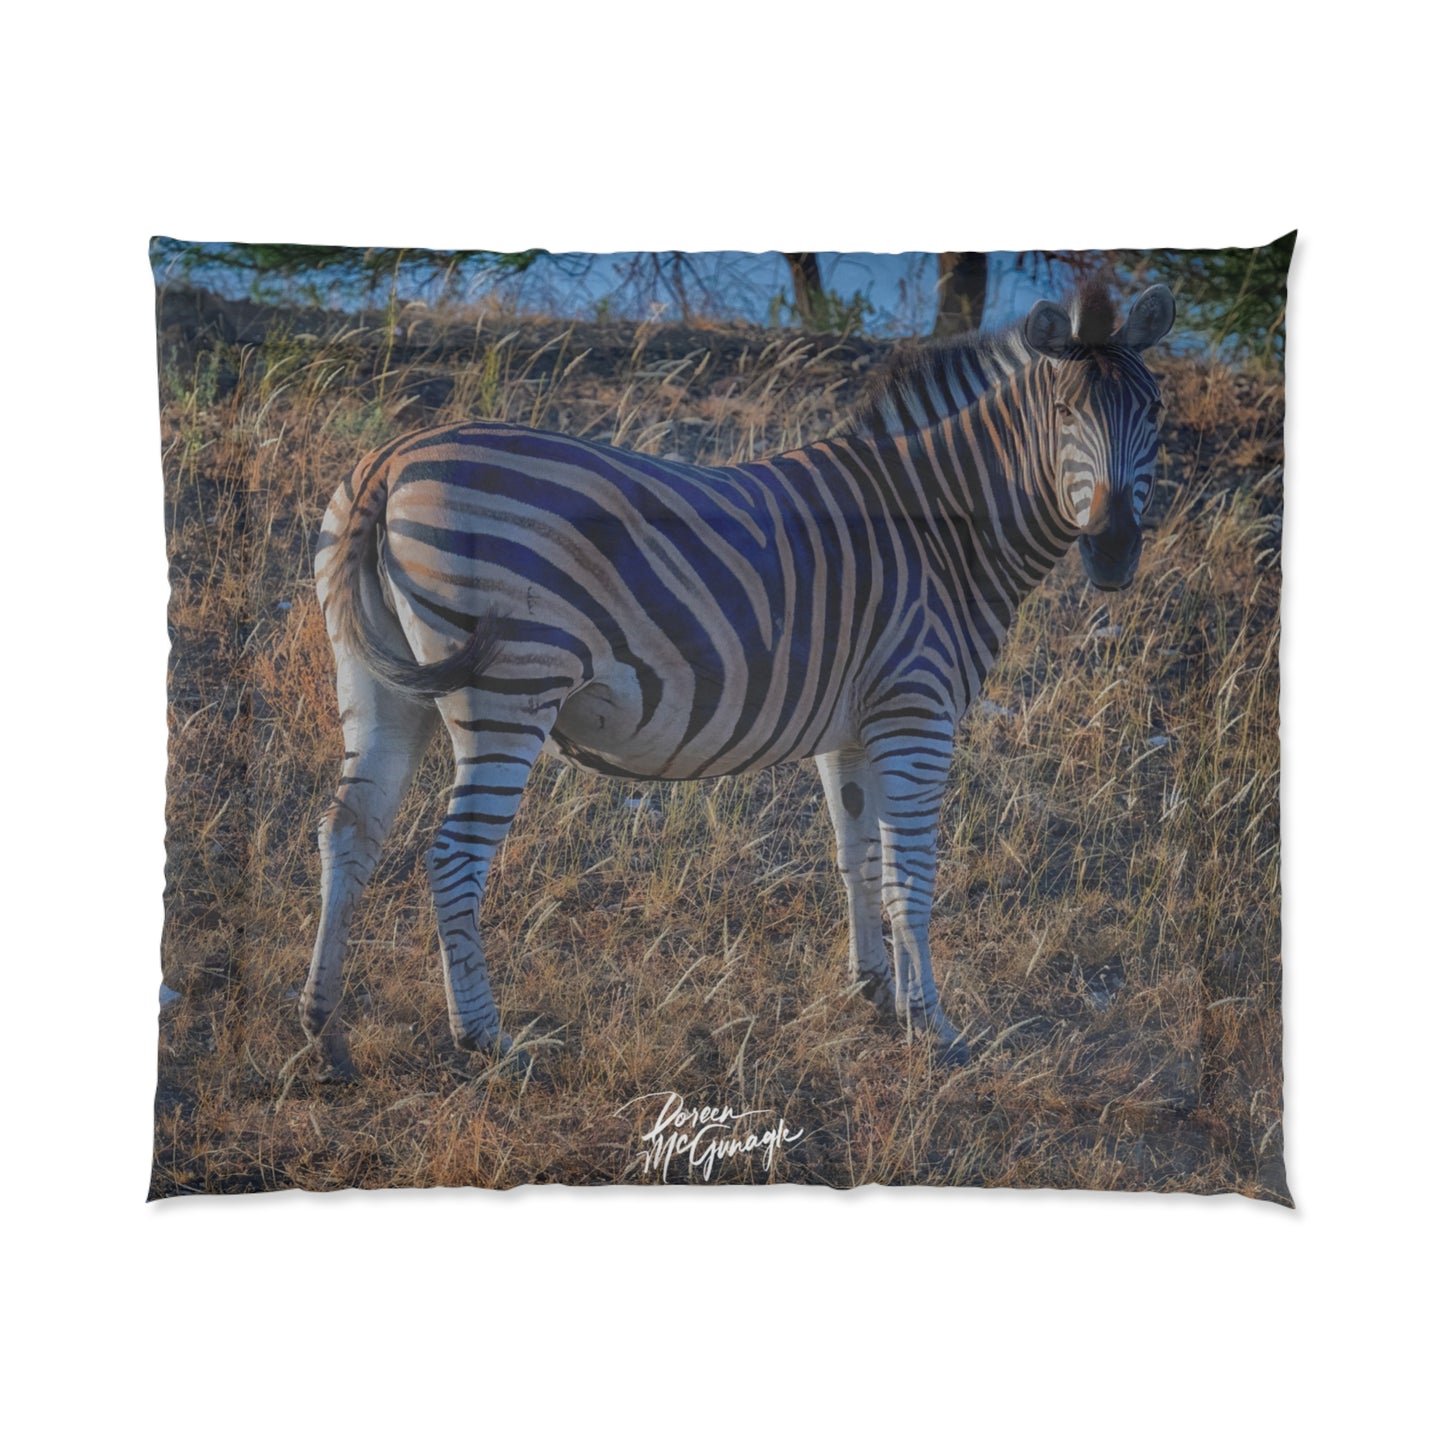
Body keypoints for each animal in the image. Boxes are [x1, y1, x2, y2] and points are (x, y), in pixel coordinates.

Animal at [300, 278, 1175, 1080]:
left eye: (1155, 414)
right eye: (1063, 413)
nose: (1113, 551)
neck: (940, 530)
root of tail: (389, 461)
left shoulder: (851, 729)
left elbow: (856, 856)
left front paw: (874, 993)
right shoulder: (915, 714)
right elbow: (910, 875)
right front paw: (934, 1026)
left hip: (379, 685)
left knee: (348, 830)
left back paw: (324, 1027)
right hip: (510, 689)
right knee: (451, 857)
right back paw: (485, 1038)